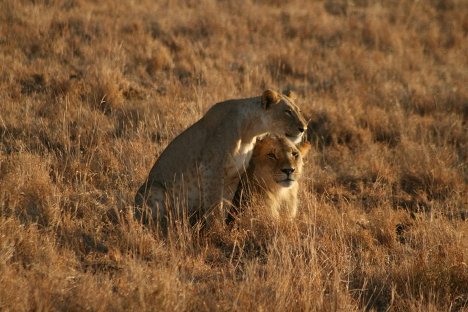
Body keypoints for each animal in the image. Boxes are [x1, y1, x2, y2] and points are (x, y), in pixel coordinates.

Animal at [133, 89, 308, 228]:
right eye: (287, 111)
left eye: (298, 110)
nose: (304, 128)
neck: (249, 132)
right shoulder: (211, 169)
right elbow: (214, 205)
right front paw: (216, 232)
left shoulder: (234, 175)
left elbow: (224, 206)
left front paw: (222, 229)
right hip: (154, 189)